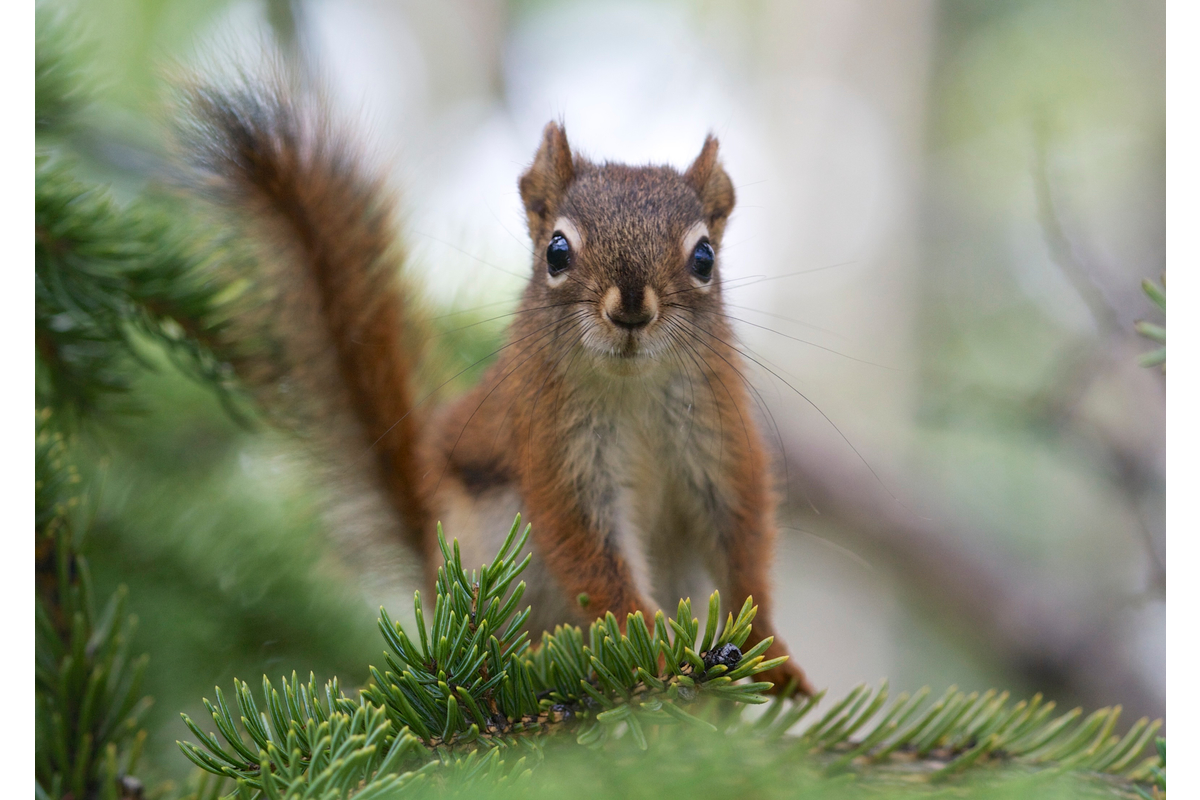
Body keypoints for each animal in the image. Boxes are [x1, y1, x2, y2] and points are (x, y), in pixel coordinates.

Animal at [179, 70, 814, 697]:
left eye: (704, 257)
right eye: (557, 250)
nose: (632, 308)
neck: (631, 386)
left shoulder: (719, 435)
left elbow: (742, 539)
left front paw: (771, 653)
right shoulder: (554, 445)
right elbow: (590, 555)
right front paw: (656, 646)